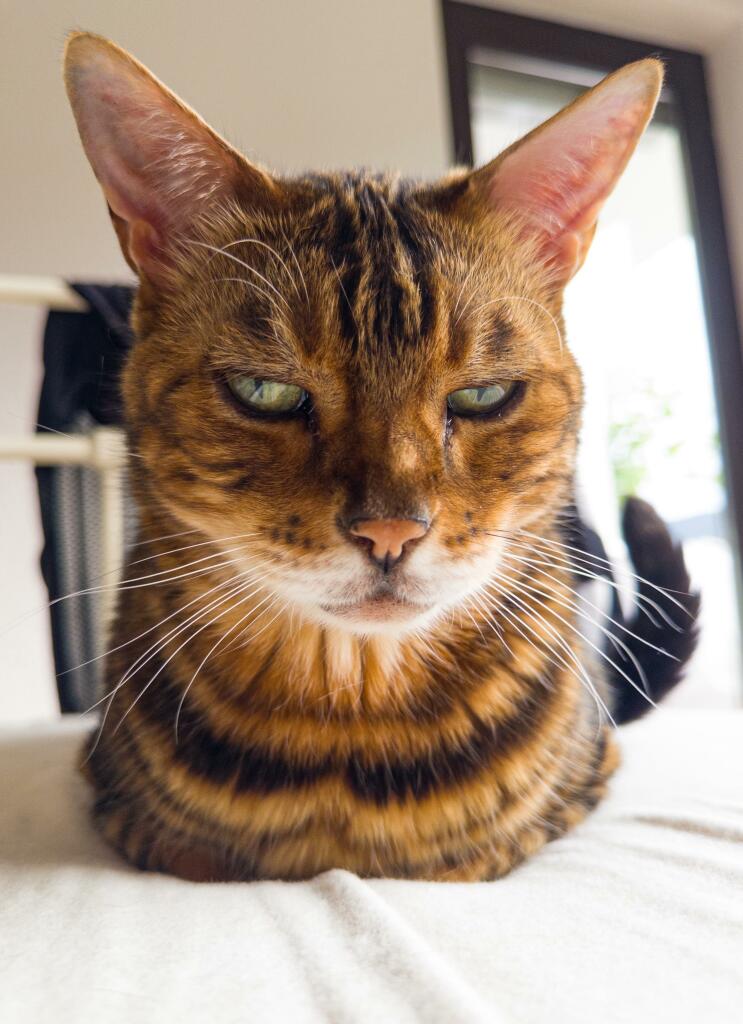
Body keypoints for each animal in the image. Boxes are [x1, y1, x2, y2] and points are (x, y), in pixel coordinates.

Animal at [62, 32, 700, 880]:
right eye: (265, 391)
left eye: (483, 396)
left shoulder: (582, 784)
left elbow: (480, 853)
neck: (352, 728)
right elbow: (196, 852)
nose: (389, 533)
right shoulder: (122, 814)